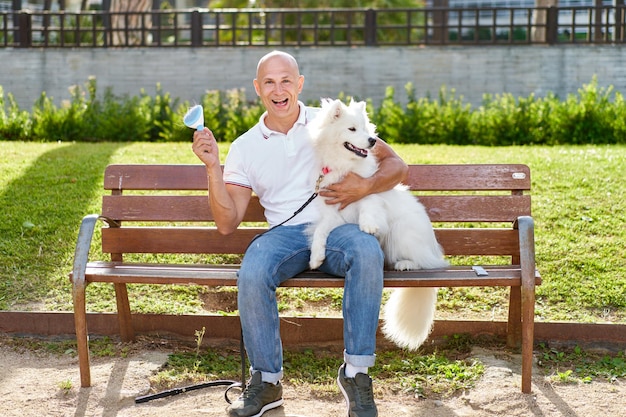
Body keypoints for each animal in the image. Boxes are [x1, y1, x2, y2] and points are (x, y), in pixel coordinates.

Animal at [304, 99, 446, 350]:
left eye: (366, 129)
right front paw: (316, 257)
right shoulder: (334, 212)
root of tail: (433, 249)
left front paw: (368, 226)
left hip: (402, 232)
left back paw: (406, 264)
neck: (344, 166)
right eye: (352, 129)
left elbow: (368, 206)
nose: (372, 141)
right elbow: (320, 232)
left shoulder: (366, 192)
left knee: (426, 263)